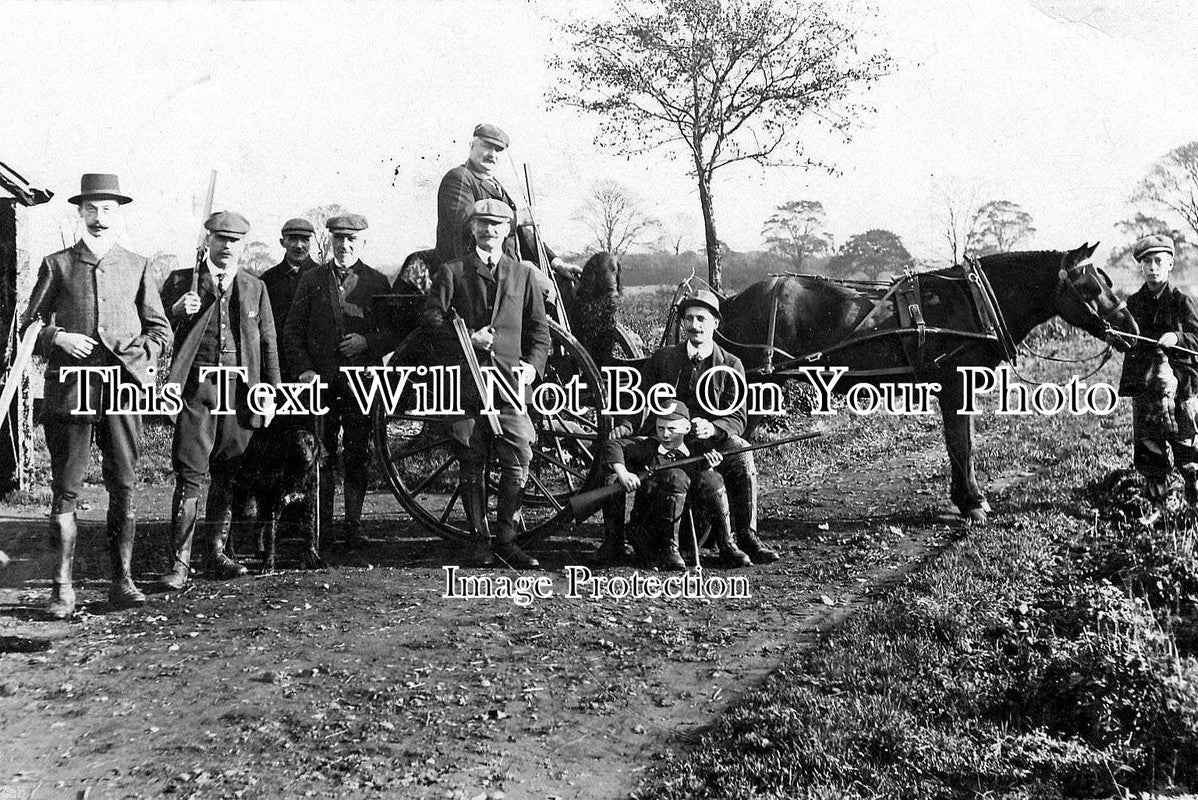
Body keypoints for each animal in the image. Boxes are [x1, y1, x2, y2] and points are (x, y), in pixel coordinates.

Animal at [231, 423, 325, 574]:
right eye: (297, 445)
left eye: (311, 444)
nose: (308, 460)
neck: (297, 476)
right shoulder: (275, 509)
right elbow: (271, 540)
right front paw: (269, 565)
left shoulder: (308, 508)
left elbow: (310, 536)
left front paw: (315, 559)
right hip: (242, 500)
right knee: (231, 527)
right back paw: (230, 552)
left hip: (263, 504)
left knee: (257, 528)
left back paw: (259, 551)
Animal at [714, 244, 1135, 524]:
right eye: (1093, 289)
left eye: (1107, 281)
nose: (1132, 330)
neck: (972, 301)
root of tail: (729, 302)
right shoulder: (954, 385)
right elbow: (961, 444)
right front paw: (973, 502)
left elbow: (960, 443)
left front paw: (965, 498)